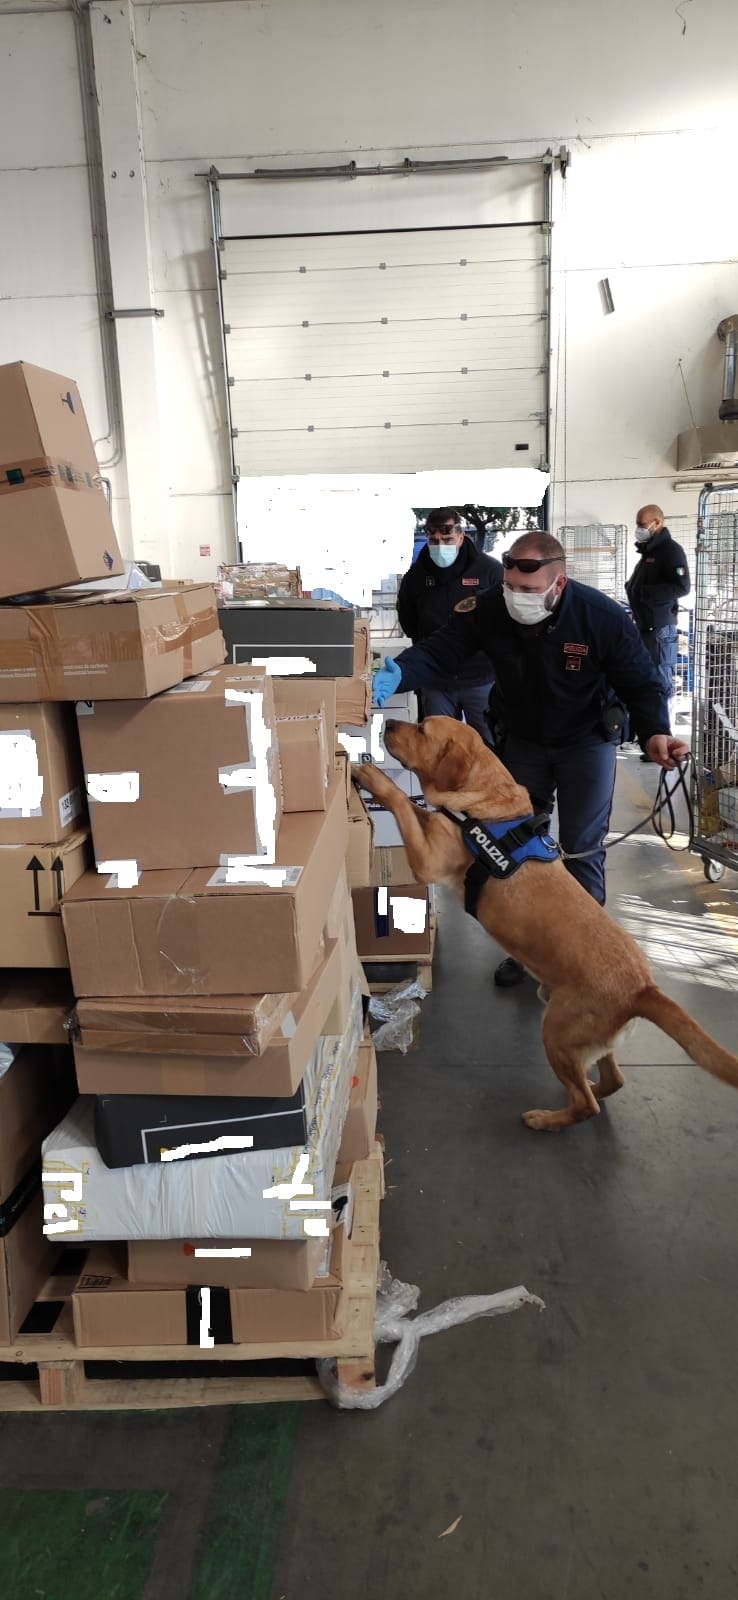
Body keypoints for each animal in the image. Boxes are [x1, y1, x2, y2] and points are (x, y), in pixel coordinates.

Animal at [352, 720, 736, 1132]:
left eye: (422, 729)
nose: (389, 724)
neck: (484, 807)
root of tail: (643, 988)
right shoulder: (436, 823)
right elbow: (417, 807)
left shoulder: (428, 860)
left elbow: (401, 803)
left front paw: (373, 778)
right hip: (575, 1026)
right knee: (612, 1080)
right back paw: (591, 1086)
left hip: (556, 1032)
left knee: (586, 1105)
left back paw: (546, 1119)